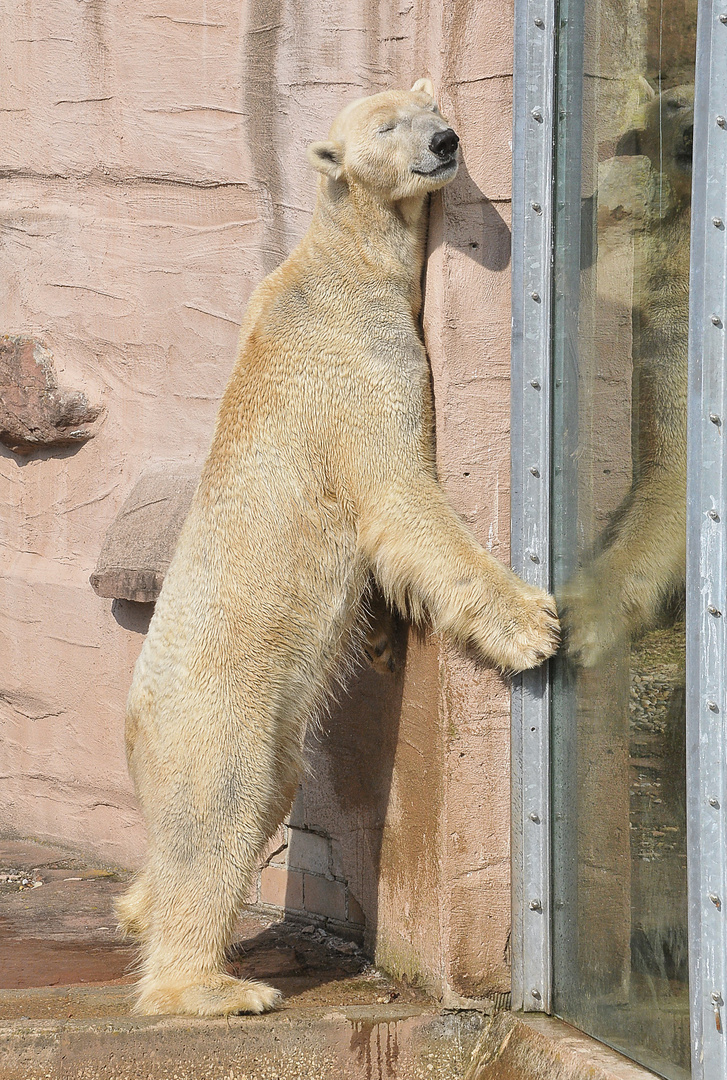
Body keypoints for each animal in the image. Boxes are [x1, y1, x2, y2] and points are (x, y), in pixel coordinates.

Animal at [117, 79, 561, 1015]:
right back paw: (212, 987)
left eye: (429, 108)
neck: (343, 263)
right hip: (218, 711)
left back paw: (139, 908)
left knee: (241, 808)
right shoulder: (363, 367)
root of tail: (135, 725)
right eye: (387, 125)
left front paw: (389, 637)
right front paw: (531, 626)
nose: (446, 141)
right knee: (223, 808)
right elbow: (403, 498)